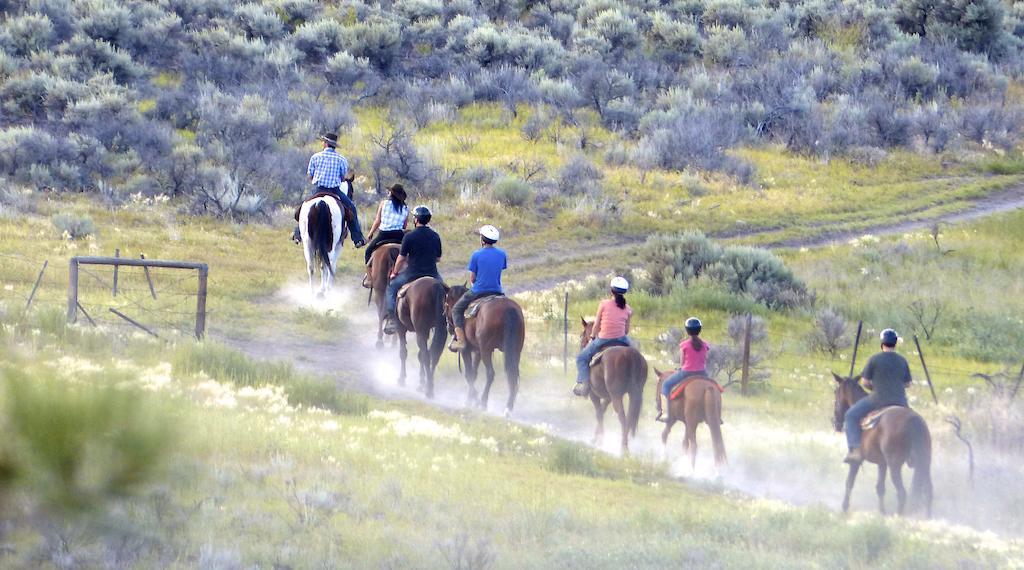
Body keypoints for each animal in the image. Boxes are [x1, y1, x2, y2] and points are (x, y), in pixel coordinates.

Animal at [446, 286, 528, 415]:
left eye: (446, 304)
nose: (449, 327)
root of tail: (508, 309)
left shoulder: (466, 350)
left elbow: (469, 374)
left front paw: (472, 400)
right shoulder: (477, 351)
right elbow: (474, 374)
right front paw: (471, 399)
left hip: (486, 350)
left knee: (490, 373)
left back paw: (483, 402)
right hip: (514, 351)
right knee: (514, 377)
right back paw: (508, 407)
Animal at [577, 319, 647, 454]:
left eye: (582, 336)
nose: (582, 346)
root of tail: (630, 355)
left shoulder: (594, 394)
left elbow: (599, 413)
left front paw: (599, 440)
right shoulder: (608, 397)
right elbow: (602, 411)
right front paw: (596, 438)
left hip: (616, 397)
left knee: (622, 418)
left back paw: (623, 448)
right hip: (633, 394)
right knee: (629, 418)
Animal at [831, 370, 937, 517]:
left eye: (835, 391)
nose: (836, 423)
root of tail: (913, 420)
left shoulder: (856, 461)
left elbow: (849, 482)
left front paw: (844, 508)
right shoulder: (882, 463)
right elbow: (880, 487)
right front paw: (882, 511)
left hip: (895, 465)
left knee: (902, 492)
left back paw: (899, 516)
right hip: (924, 463)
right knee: (928, 491)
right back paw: (927, 517)